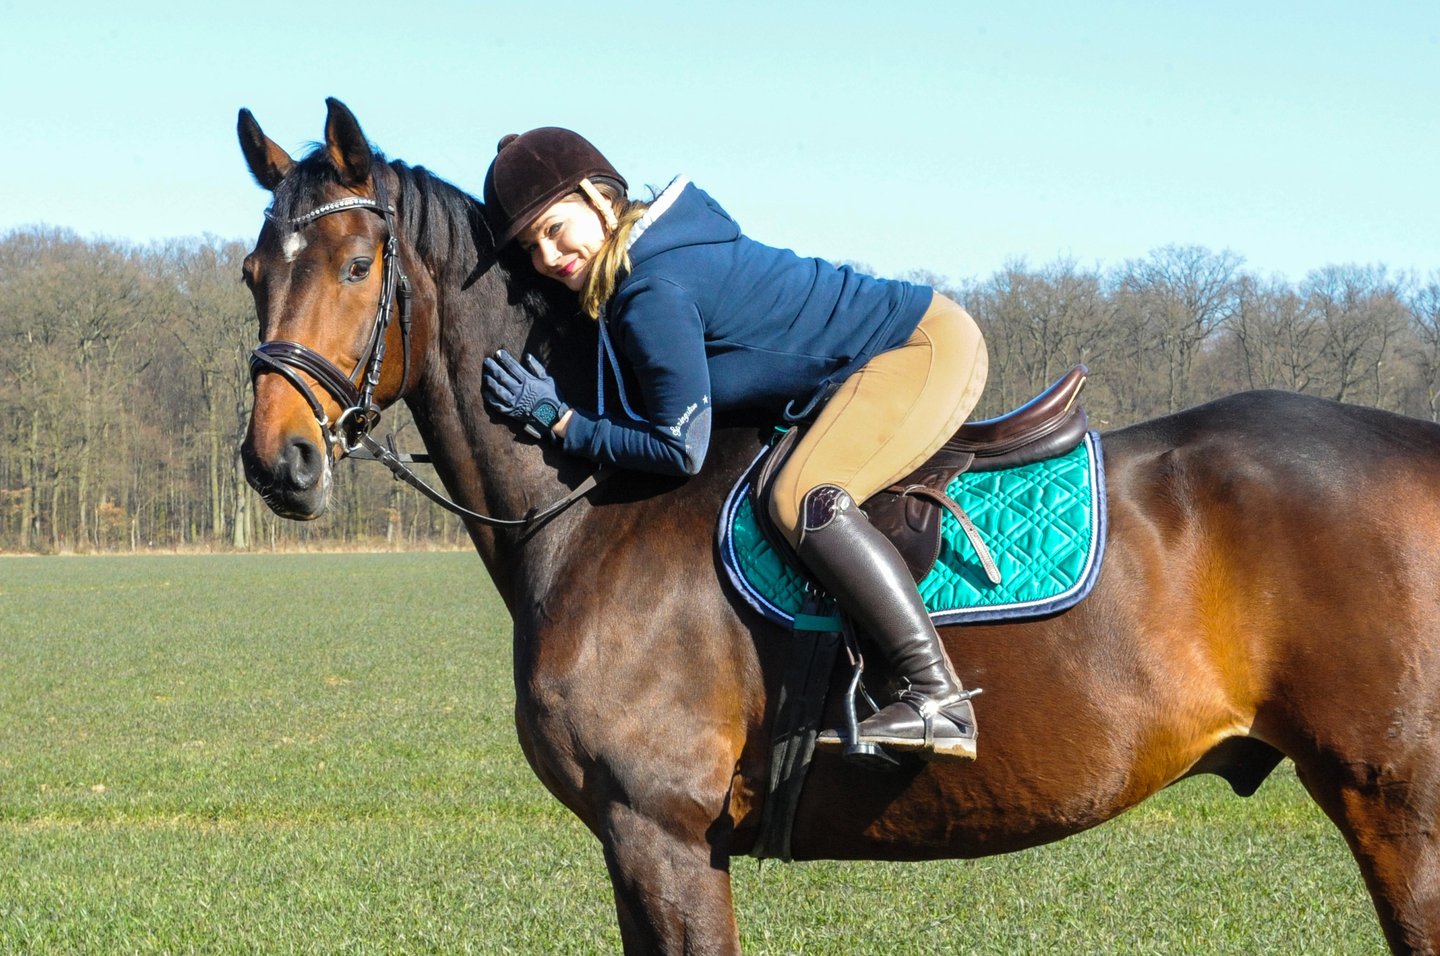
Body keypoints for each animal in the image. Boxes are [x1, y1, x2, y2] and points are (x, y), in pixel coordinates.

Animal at [236, 98, 1440, 955]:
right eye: (252, 273)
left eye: (356, 266)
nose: (275, 463)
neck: (592, 510)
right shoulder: (642, 846)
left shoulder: (661, 833)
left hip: (1399, 806)